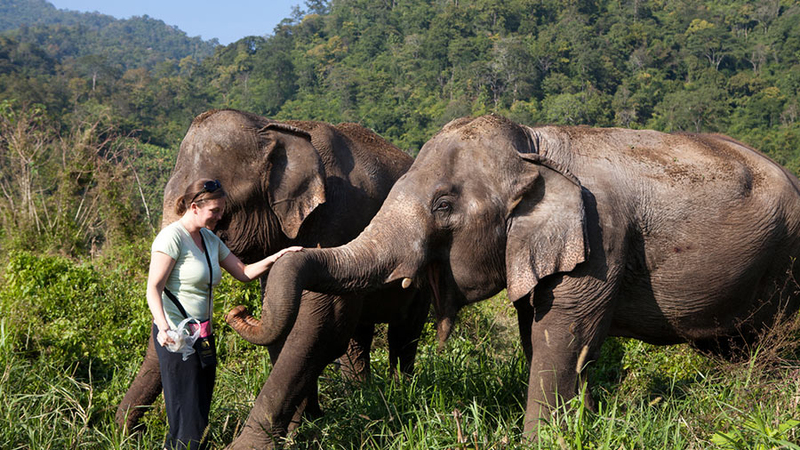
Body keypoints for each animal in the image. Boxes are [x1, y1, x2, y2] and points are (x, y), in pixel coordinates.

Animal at [115, 109, 430, 435]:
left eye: (217, 215)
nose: (136, 433)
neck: (279, 129)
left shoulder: (342, 217)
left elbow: (321, 321)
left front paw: (297, 429)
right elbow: (286, 323)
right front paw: (308, 423)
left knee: (405, 331)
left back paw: (398, 392)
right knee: (359, 338)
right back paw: (360, 396)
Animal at [249, 114, 800, 444]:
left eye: (443, 205)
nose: (237, 311)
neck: (535, 144)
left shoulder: (600, 241)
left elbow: (562, 334)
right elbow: (535, 333)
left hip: (789, 269)